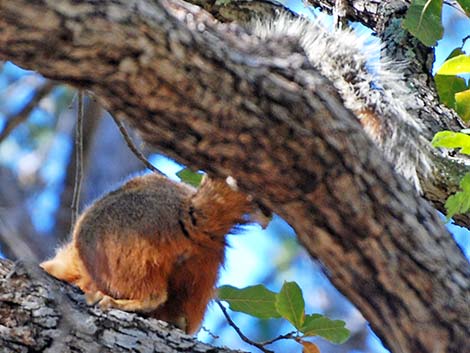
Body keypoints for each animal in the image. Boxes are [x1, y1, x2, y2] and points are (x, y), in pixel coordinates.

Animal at [40, 173, 253, 332]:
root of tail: (186, 210)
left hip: (125, 230)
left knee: (151, 294)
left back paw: (129, 301)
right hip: (201, 273)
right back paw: (177, 321)